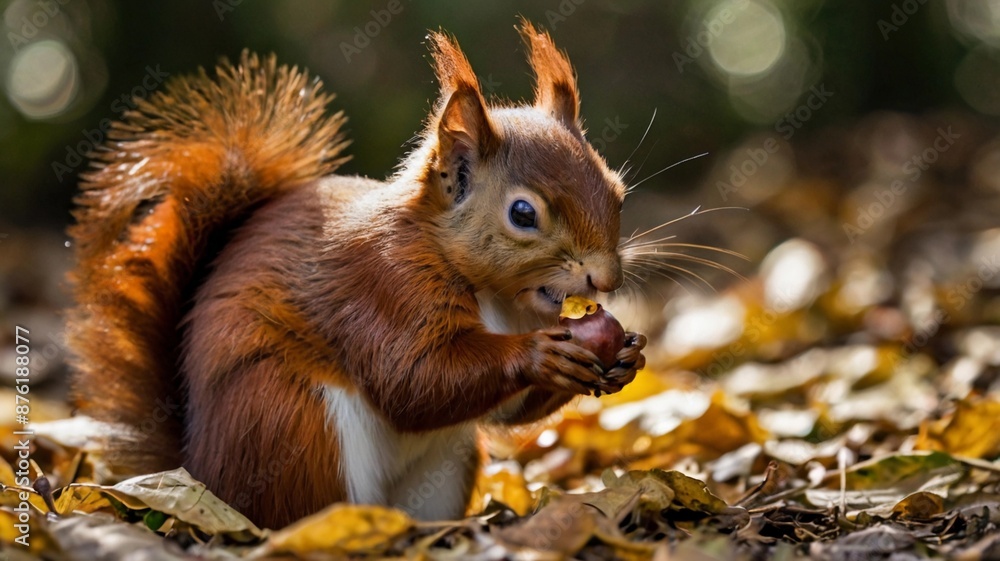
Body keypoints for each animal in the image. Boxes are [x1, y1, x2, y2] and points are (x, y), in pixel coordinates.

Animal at [66, 21, 646, 529]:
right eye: (523, 214)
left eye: (618, 192)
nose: (606, 279)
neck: (497, 298)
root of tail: (200, 468)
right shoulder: (383, 285)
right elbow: (413, 380)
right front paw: (539, 355)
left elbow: (505, 413)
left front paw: (627, 356)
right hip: (290, 419)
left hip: (447, 464)